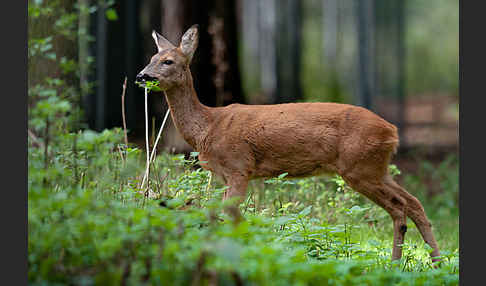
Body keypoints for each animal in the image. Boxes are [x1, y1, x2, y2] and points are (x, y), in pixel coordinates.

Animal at [136, 25, 440, 264]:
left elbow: (232, 215)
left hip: (360, 167)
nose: (142, 76)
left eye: (168, 61)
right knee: (414, 202)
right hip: (377, 167)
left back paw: (398, 263)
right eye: (151, 58)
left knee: (399, 207)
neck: (208, 127)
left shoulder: (239, 166)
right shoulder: (223, 175)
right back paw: (432, 262)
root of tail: (393, 131)